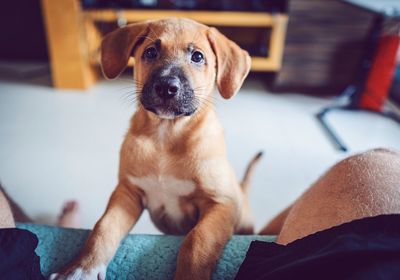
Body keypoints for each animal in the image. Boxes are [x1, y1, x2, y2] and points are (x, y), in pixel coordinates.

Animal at [52, 18, 260, 280]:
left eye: (198, 56)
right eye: (150, 52)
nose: (166, 87)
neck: (166, 136)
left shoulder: (221, 203)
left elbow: (197, 240)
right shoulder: (128, 192)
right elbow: (104, 227)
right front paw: (82, 268)